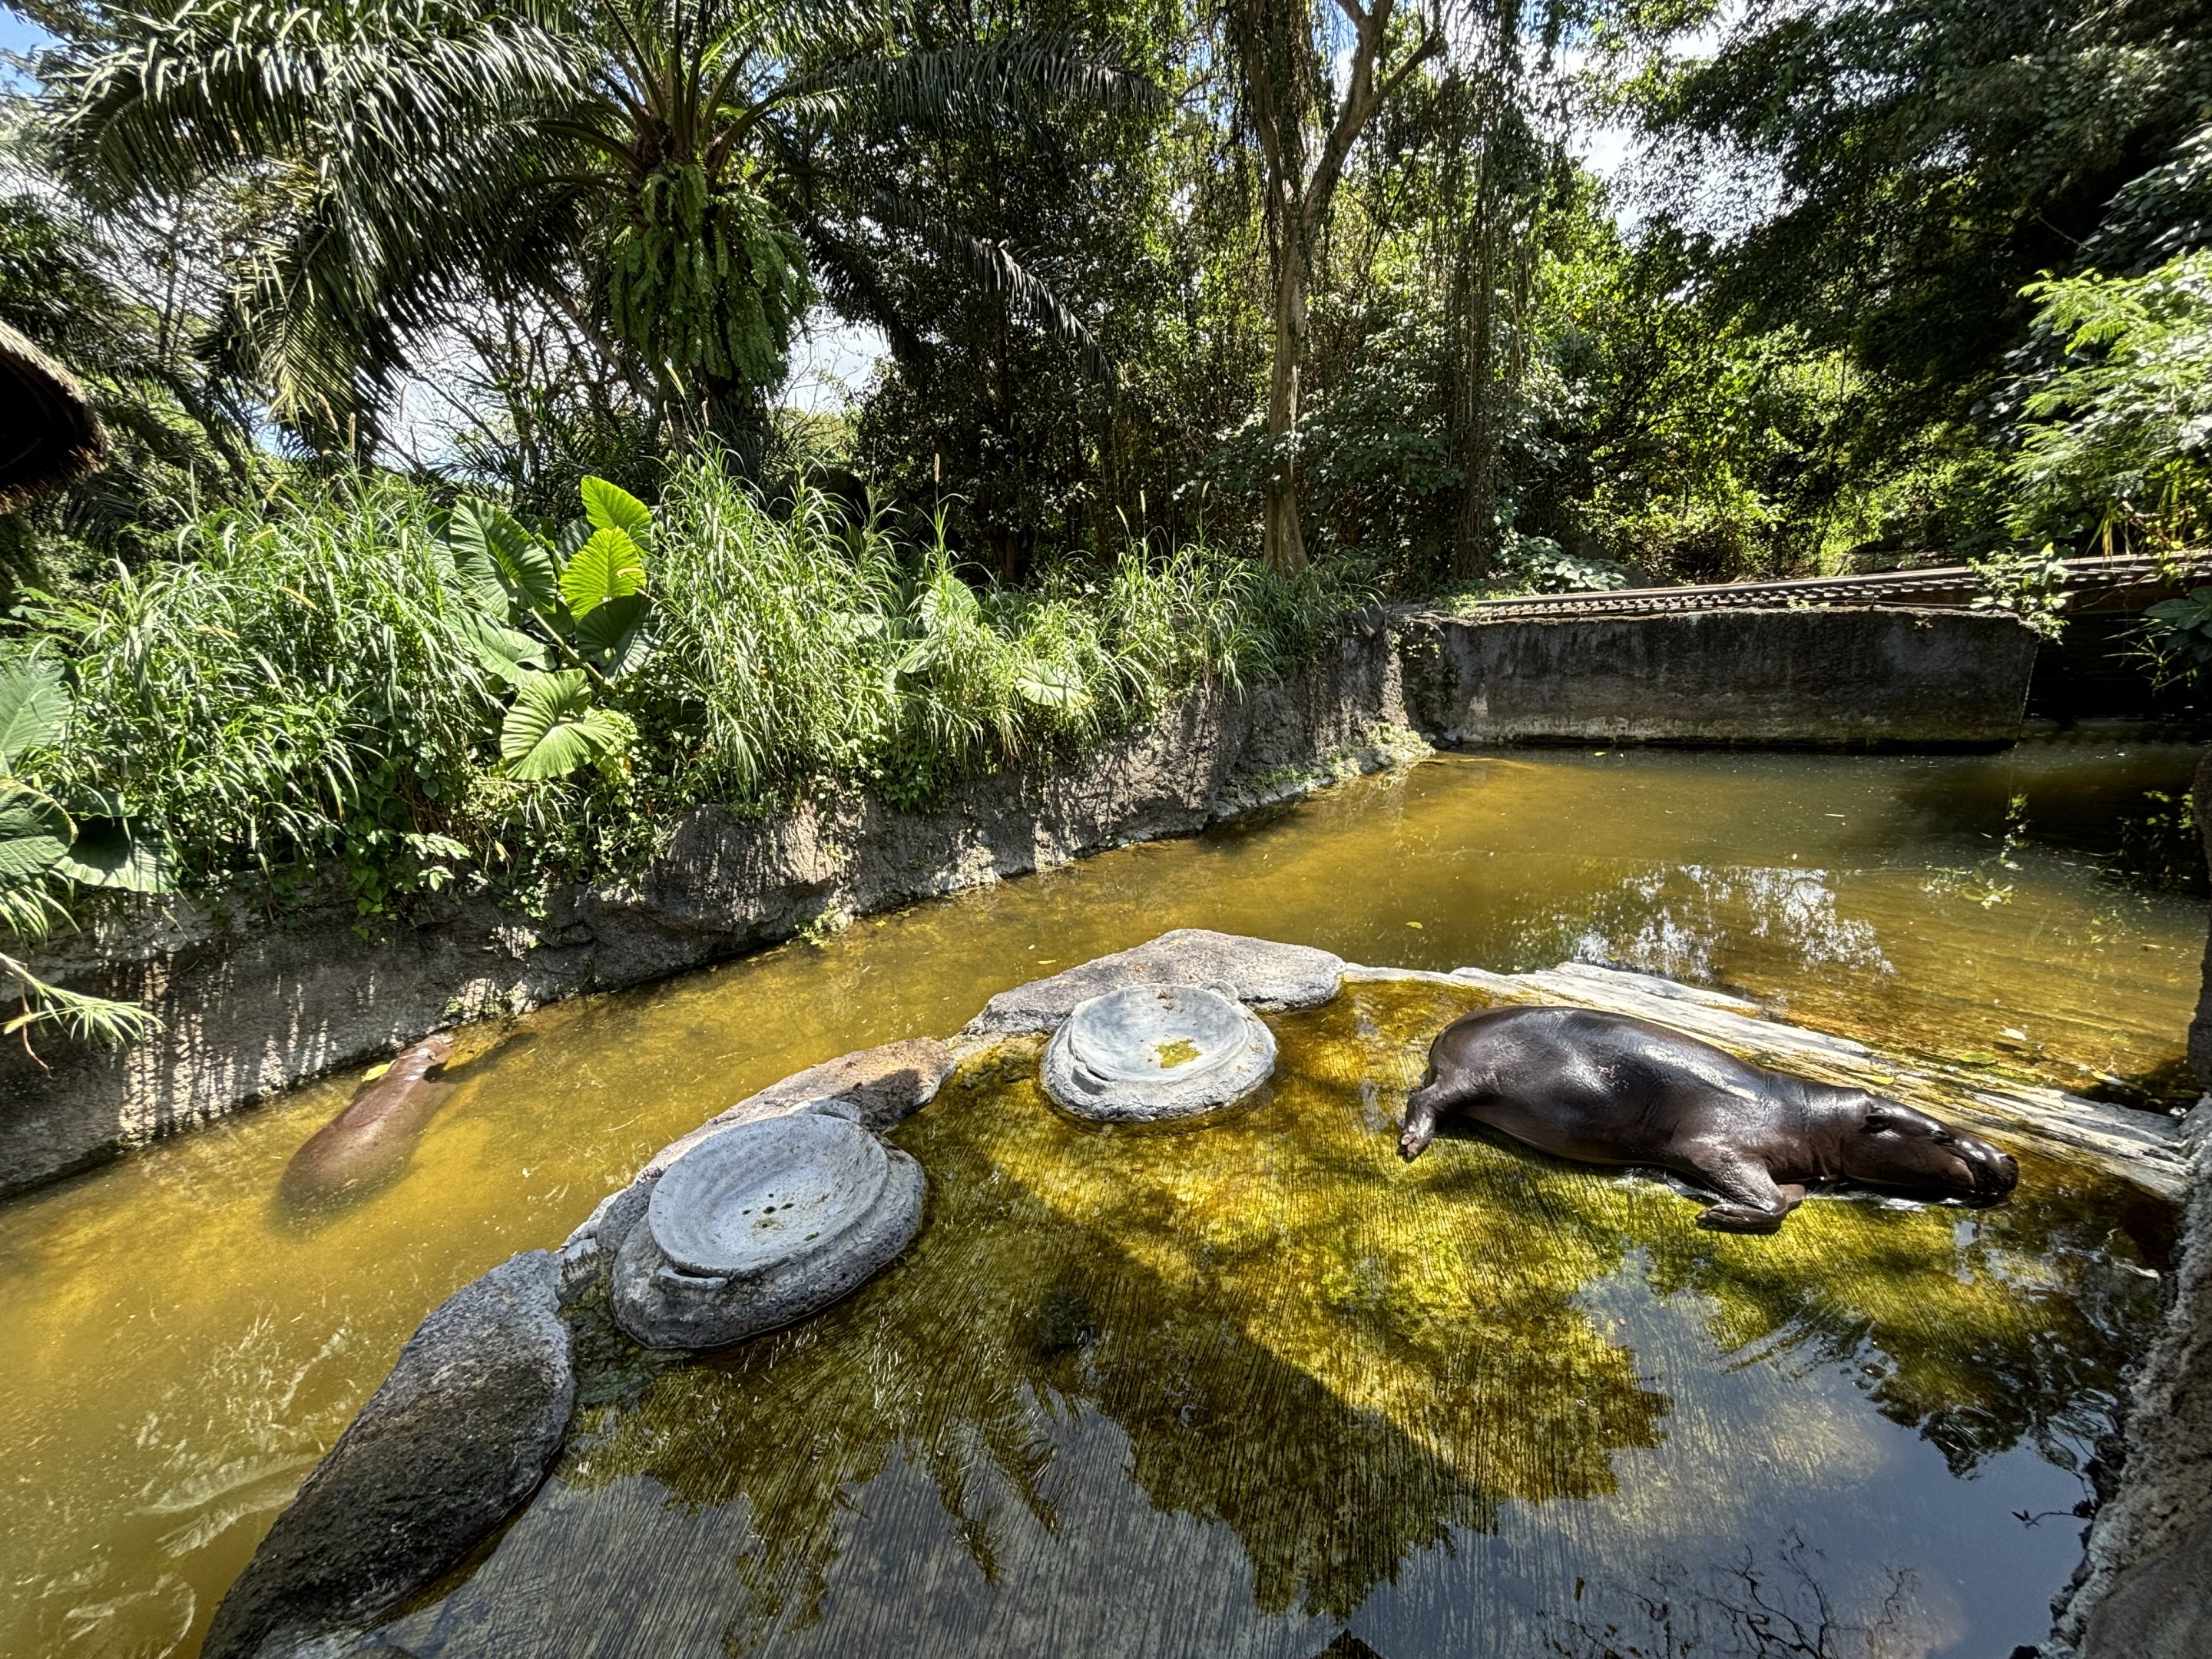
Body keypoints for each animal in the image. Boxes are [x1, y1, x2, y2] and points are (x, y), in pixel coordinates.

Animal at [280, 1034, 456, 1203]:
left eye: (427, 1039)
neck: (409, 1067)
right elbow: (448, 1088)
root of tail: (294, 1192)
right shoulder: (437, 1088)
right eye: (442, 1044)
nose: (445, 1035)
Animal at [1397, 1005, 2018, 1231]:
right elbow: (1771, 1203)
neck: (1819, 1118)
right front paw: (1715, 1213)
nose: (2008, 1158)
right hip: (1476, 1079)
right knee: (1425, 1101)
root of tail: (1452, 1028)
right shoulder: (1712, 1145)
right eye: (1940, 1133)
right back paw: (1412, 1144)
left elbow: (1787, 1197)